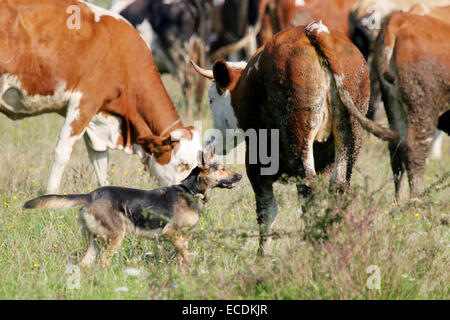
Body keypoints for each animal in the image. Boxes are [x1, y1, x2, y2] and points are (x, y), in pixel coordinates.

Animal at [0, 0, 200, 192]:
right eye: (183, 163)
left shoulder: (98, 116)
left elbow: (100, 160)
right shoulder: (83, 103)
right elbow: (63, 151)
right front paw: (50, 193)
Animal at [23, 149, 243, 272]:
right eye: (222, 169)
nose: (241, 176)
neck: (191, 191)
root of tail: (91, 195)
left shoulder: (183, 238)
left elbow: (183, 258)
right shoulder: (170, 233)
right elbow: (187, 256)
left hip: (94, 241)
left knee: (86, 263)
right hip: (116, 236)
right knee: (103, 262)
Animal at [192, 21, 370, 256]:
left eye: (211, 100)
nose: (209, 143)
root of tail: (315, 30)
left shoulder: (256, 165)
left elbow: (266, 211)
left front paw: (262, 255)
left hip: (299, 135)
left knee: (307, 187)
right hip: (351, 134)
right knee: (338, 186)